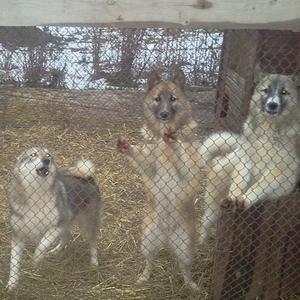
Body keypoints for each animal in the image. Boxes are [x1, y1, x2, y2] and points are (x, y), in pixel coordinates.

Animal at [4, 146, 102, 292]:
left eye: (48, 155)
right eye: (33, 154)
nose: (47, 160)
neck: (36, 193)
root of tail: (88, 177)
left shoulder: (59, 223)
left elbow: (42, 245)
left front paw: (36, 260)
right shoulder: (18, 235)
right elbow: (14, 263)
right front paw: (12, 284)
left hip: (87, 225)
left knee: (93, 242)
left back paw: (94, 262)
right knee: (66, 237)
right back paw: (55, 251)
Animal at [198, 64, 298, 245]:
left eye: (284, 92)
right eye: (266, 90)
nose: (273, 105)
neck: (268, 131)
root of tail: (216, 162)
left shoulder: (277, 170)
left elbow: (258, 186)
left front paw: (244, 200)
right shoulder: (245, 162)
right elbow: (239, 182)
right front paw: (234, 197)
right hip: (214, 204)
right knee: (206, 221)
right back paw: (201, 243)